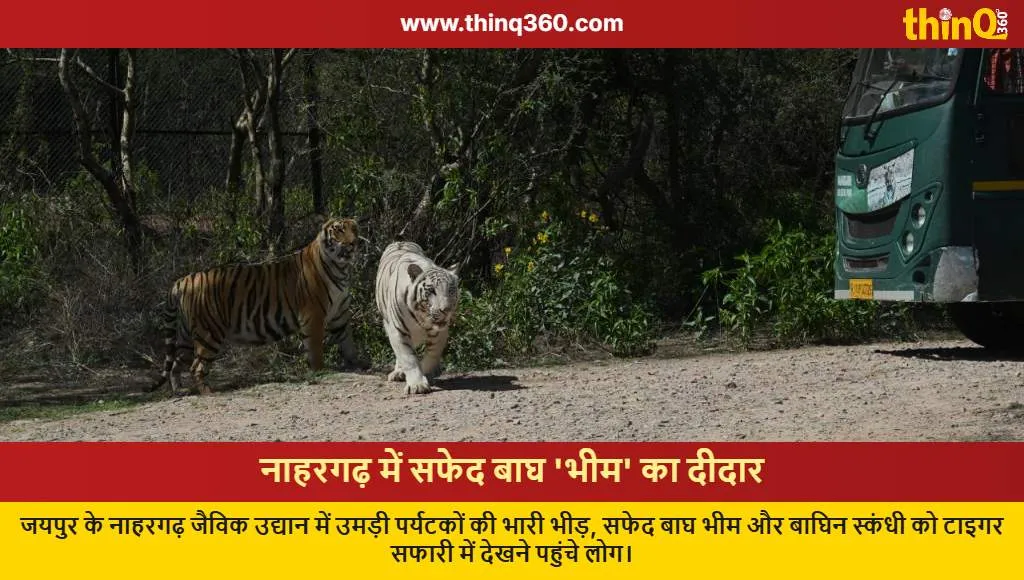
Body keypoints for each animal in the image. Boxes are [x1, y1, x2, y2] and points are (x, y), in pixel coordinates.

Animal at [151, 217, 366, 396]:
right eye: (339, 230)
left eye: (354, 229)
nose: (354, 242)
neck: (340, 268)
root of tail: (183, 280)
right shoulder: (314, 316)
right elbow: (315, 349)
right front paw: (321, 371)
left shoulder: (339, 314)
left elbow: (348, 342)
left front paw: (358, 364)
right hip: (209, 334)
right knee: (196, 366)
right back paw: (208, 392)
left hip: (187, 335)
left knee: (176, 362)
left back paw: (179, 391)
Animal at [374, 241, 460, 395]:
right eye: (431, 290)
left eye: (451, 290)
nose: (446, 310)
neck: (421, 316)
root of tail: (400, 241)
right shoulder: (398, 331)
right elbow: (409, 358)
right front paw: (418, 385)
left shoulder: (439, 333)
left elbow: (432, 355)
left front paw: (427, 375)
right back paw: (398, 373)